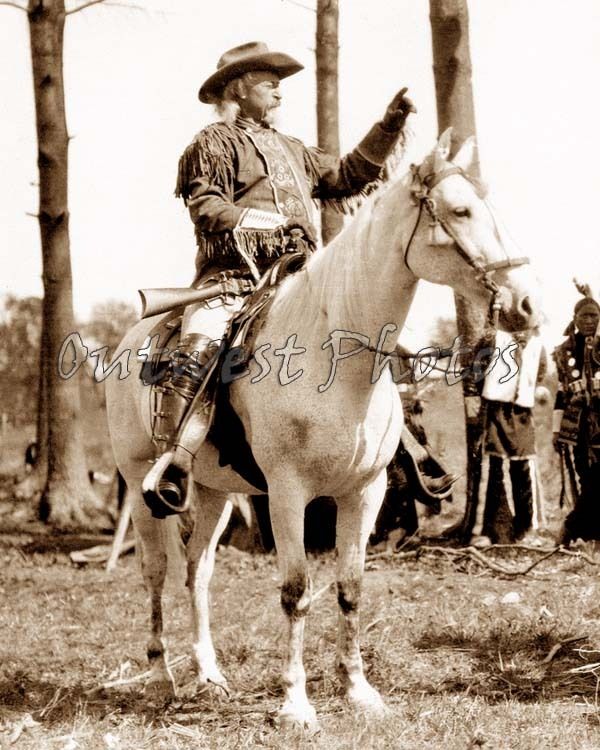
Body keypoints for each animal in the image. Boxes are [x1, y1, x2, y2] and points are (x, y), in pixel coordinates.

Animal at [105, 132, 540, 732]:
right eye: (460, 211)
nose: (526, 304)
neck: (332, 353)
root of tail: (130, 341)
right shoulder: (288, 494)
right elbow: (295, 592)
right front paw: (295, 704)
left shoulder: (365, 493)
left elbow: (350, 590)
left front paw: (358, 690)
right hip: (141, 487)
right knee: (156, 572)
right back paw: (160, 677)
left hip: (214, 493)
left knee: (198, 573)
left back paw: (209, 675)